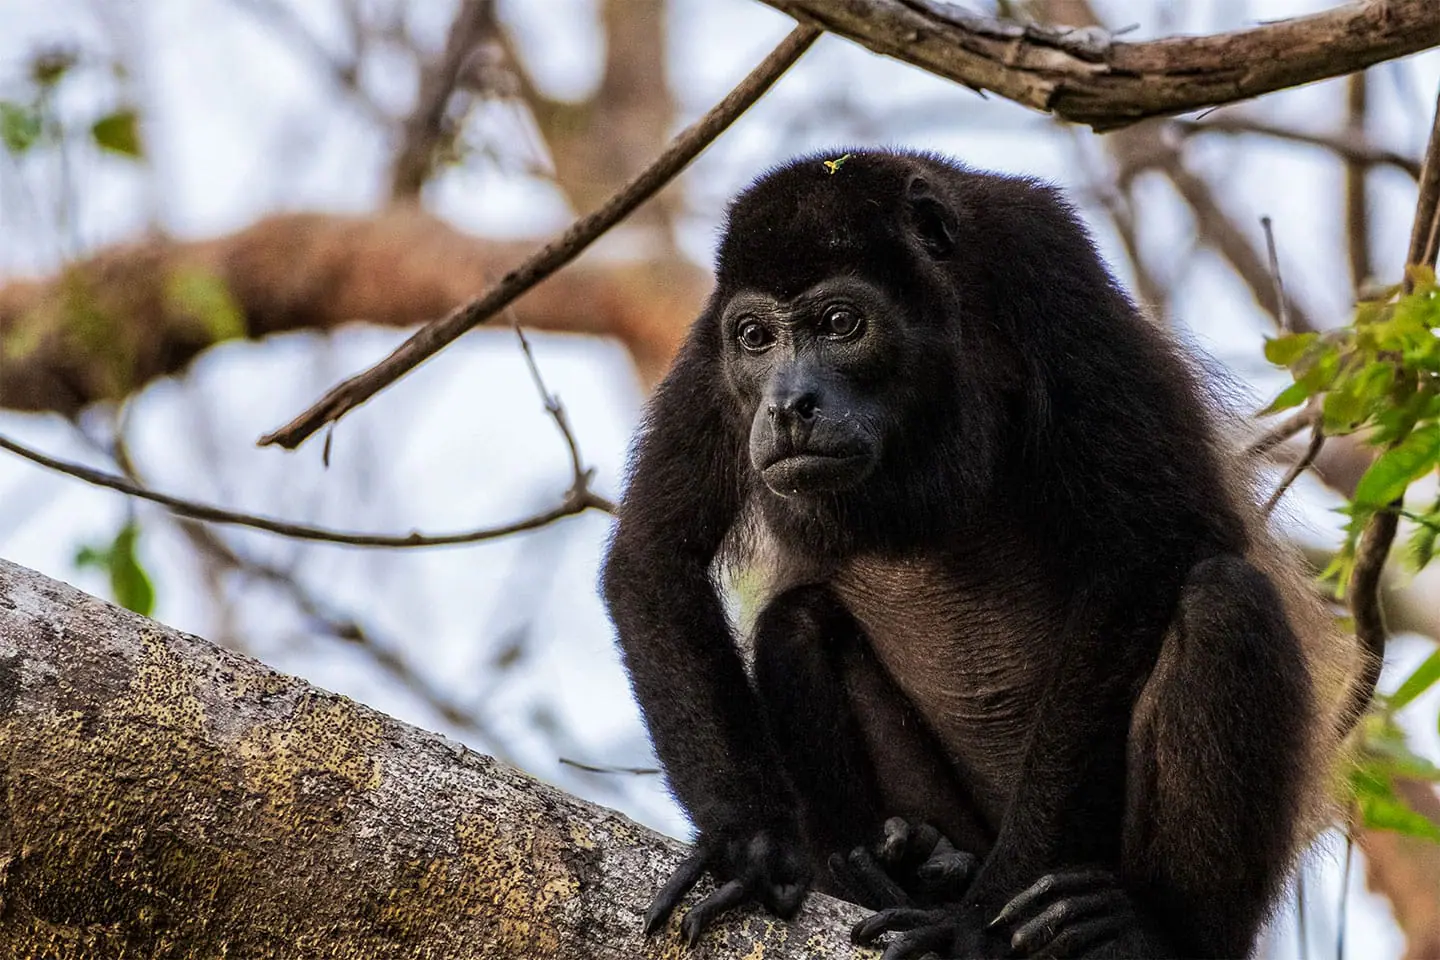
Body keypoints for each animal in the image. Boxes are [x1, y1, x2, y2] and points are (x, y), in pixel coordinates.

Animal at [599, 150, 1359, 960]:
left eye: (840, 323)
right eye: (754, 338)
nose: (788, 403)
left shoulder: (1043, 264)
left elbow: (1153, 546)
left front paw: (981, 919)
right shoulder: (709, 348)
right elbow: (654, 553)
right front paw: (749, 847)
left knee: (1223, 600)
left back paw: (1146, 929)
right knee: (794, 621)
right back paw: (907, 864)